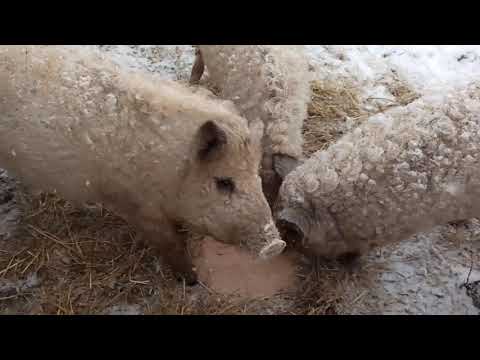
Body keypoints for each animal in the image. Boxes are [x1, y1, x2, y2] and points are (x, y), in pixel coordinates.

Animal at [0, 46, 284, 286]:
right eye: (223, 182)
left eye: (256, 178)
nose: (276, 245)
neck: (170, 169)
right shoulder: (139, 208)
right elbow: (171, 244)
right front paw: (191, 281)